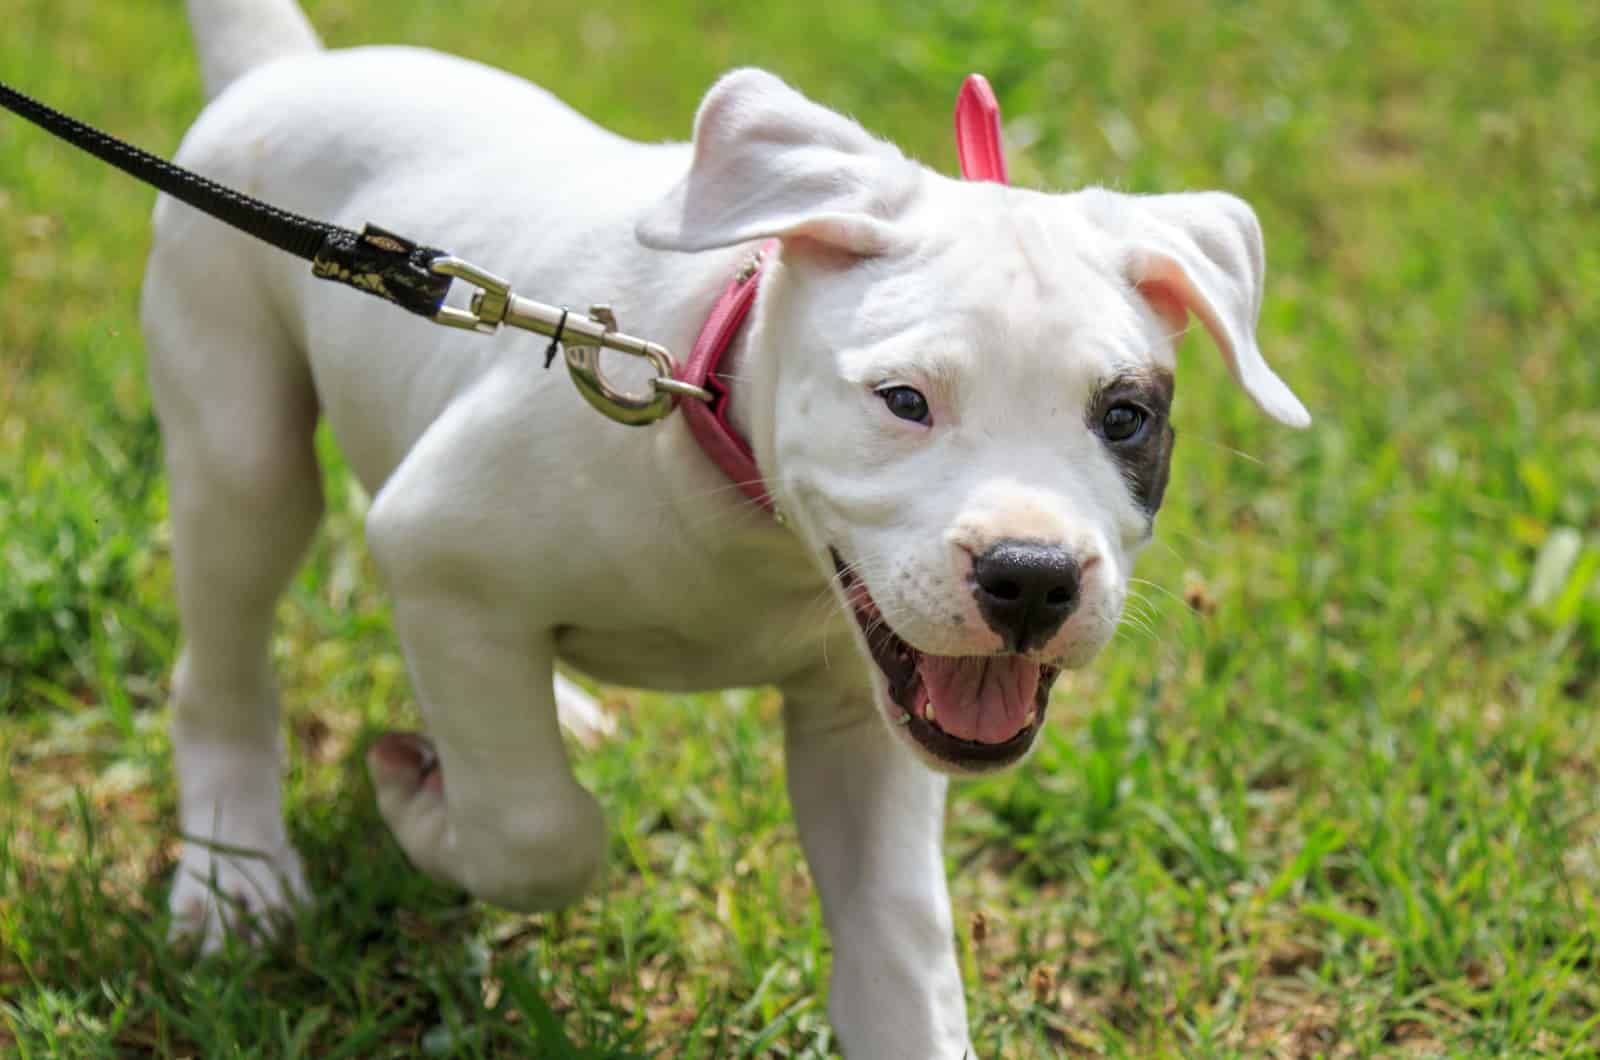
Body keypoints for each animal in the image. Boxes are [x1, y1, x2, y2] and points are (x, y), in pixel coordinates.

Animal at [144, 0, 1305, 1056]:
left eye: (1124, 418)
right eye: (903, 401)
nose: (1031, 577)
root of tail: (284, 70)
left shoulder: (862, 716)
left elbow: (899, 946)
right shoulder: (436, 550)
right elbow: (537, 831)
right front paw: (425, 814)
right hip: (242, 453)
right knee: (220, 663)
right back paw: (236, 871)